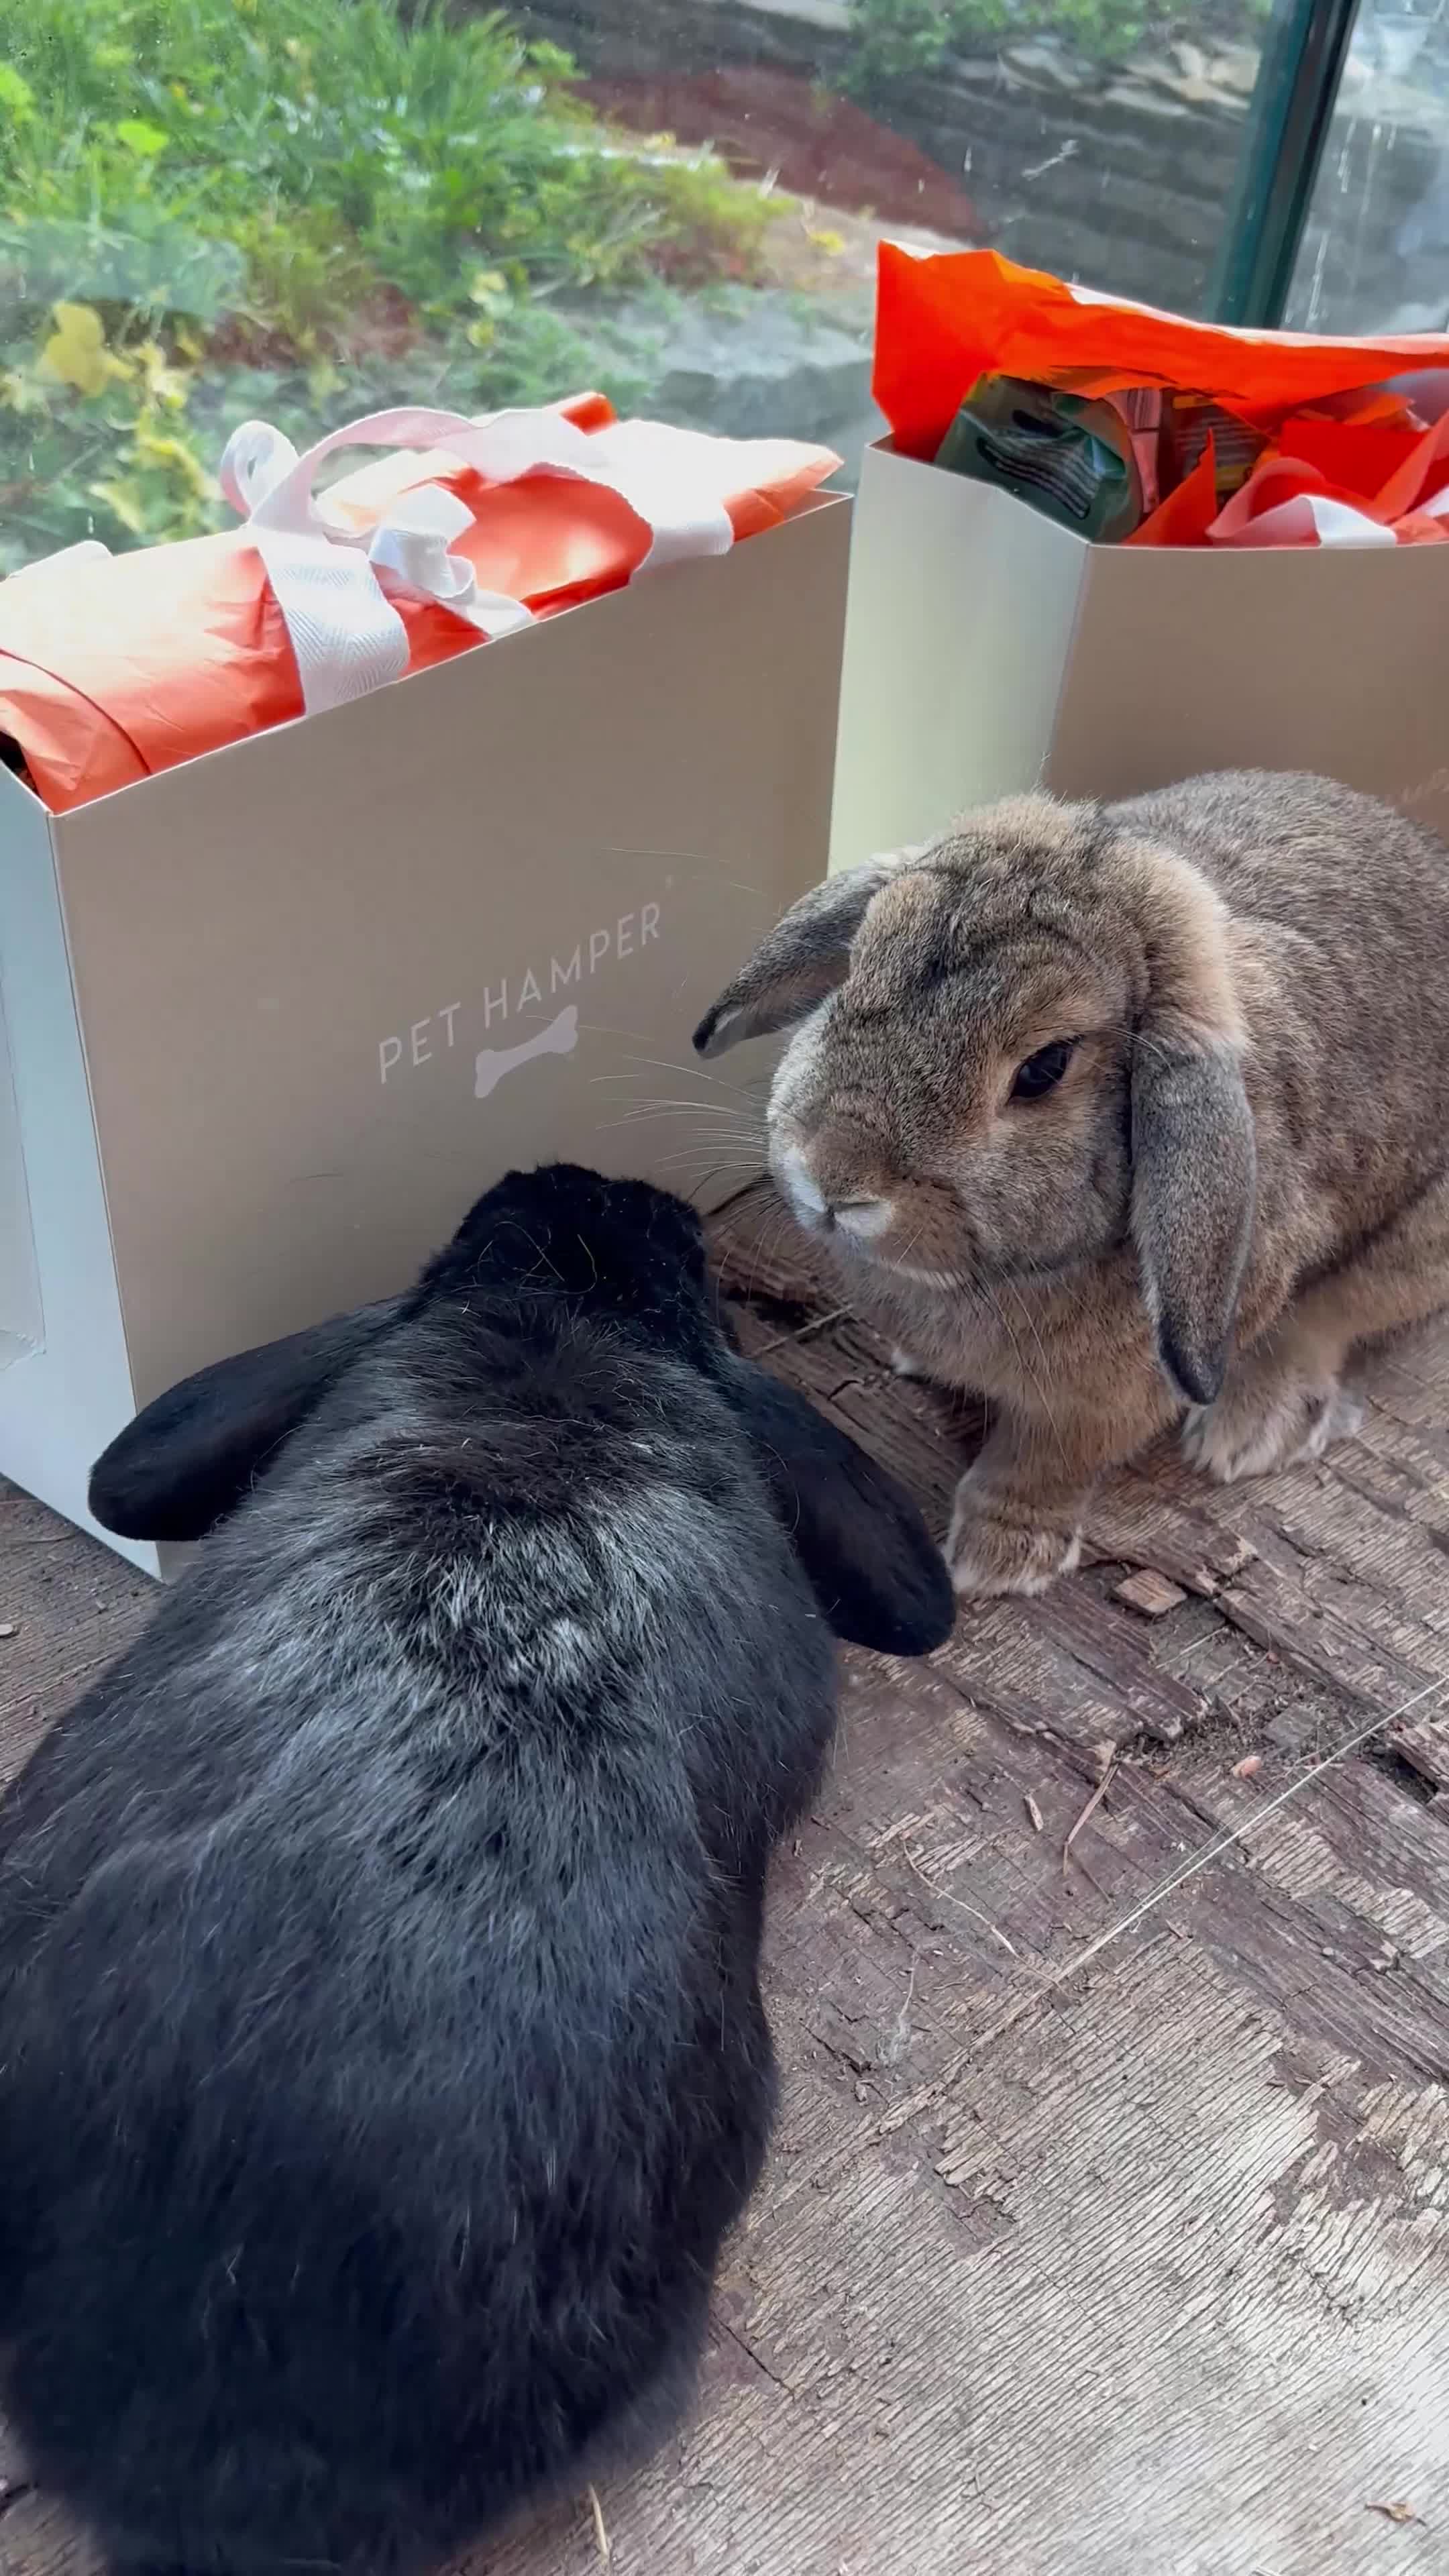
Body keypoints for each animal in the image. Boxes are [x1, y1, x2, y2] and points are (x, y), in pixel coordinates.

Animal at [694, 770, 1449, 1598]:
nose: (833, 1177)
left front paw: (995, 1561)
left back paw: (1243, 1431)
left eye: (1045, 1068)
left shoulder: (1105, 1403)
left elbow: (1045, 1463)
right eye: (851, 975)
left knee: (1325, 1325)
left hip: (1408, 1255)